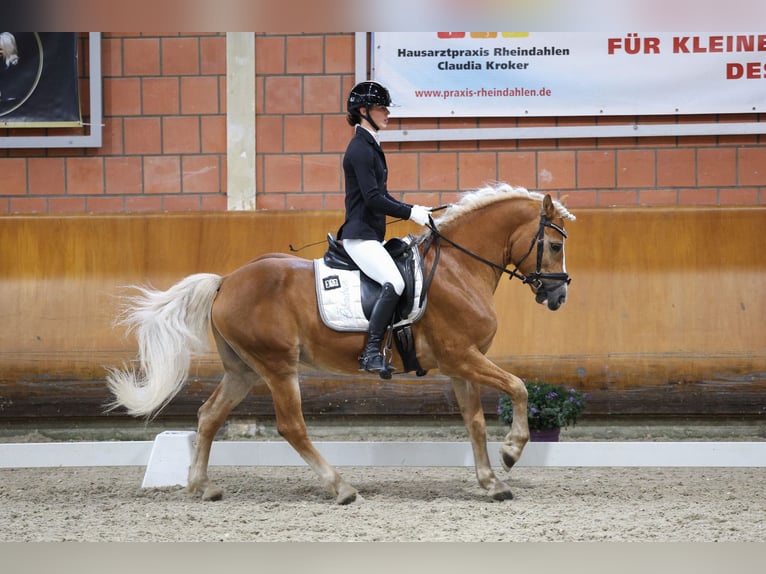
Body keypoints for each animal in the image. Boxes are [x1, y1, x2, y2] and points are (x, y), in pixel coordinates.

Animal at [106, 183, 576, 504]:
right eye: (553, 245)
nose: (558, 297)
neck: (459, 268)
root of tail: (226, 281)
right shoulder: (462, 356)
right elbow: (518, 387)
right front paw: (512, 452)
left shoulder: (461, 365)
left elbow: (475, 422)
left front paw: (492, 482)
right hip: (277, 366)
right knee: (291, 426)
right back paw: (342, 488)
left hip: (244, 370)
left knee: (209, 416)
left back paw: (202, 486)